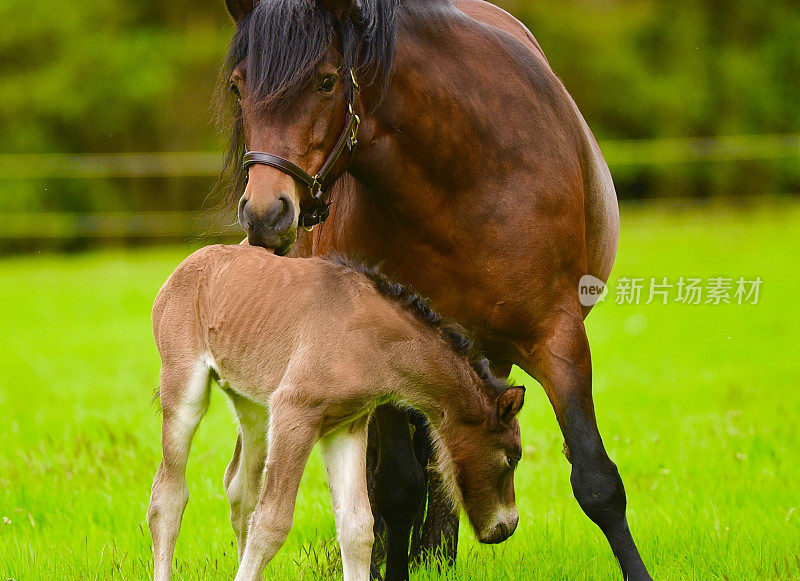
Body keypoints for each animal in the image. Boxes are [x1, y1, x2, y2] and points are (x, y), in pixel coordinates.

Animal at [148, 245, 528, 580]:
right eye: (512, 457)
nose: (507, 526)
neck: (372, 341)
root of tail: (187, 265)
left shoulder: (346, 425)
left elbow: (358, 526)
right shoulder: (295, 413)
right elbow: (272, 522)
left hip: (253, 405)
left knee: (240, 489)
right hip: (184, 390)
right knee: (168, 497)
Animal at [217, 0, 648, 576]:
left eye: (326, 81)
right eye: (239, 87)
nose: (265, 214)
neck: (463, 178)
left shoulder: (557, 338)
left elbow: (597, 480)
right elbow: (398, 488)